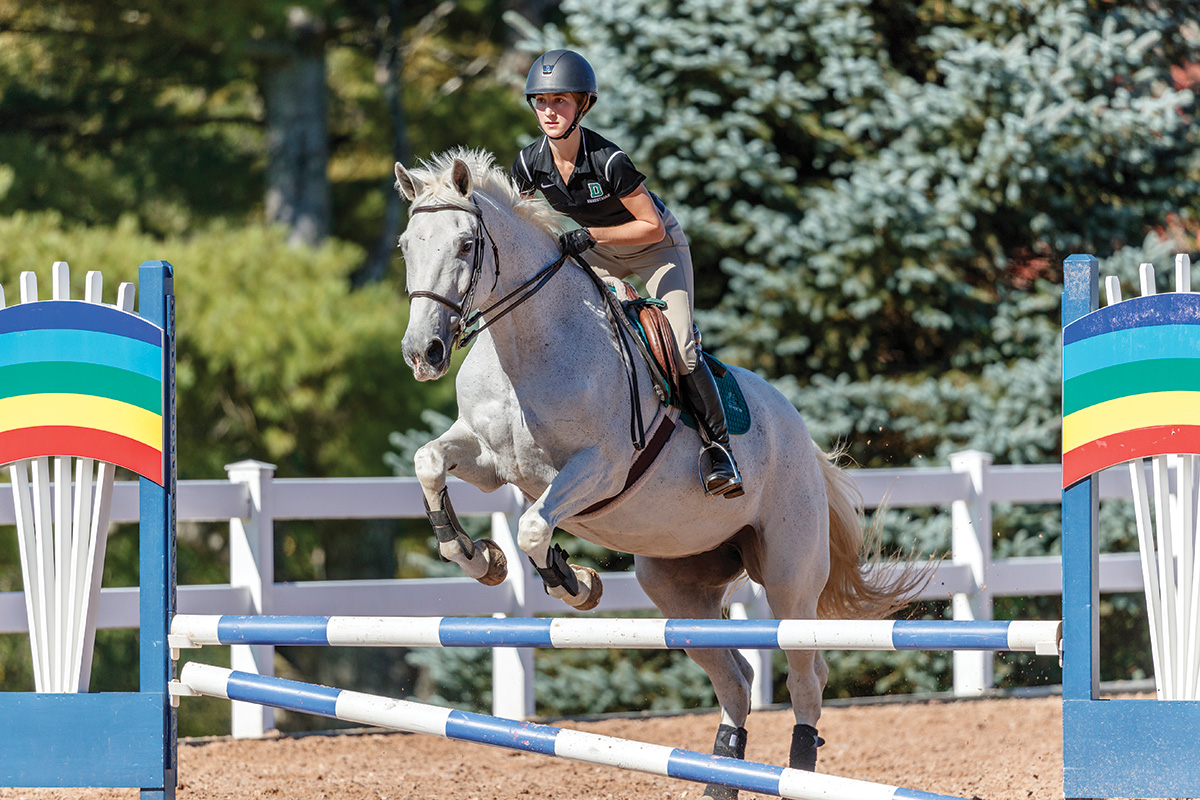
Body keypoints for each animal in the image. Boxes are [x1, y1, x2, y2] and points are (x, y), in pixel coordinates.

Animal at [393, 149, 916, 796]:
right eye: (406, 245)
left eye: (466, 244)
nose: (423, 354)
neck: (529, 343)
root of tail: (801, 434)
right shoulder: (491, 463)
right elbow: (429, 462)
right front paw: (477, 558)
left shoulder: (600, 467)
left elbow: (535, 527)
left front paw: (575, 582)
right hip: (678, 587)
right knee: (736, 678)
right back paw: (720, 777)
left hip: (790, 575)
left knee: (805, 675)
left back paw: (796, 773)